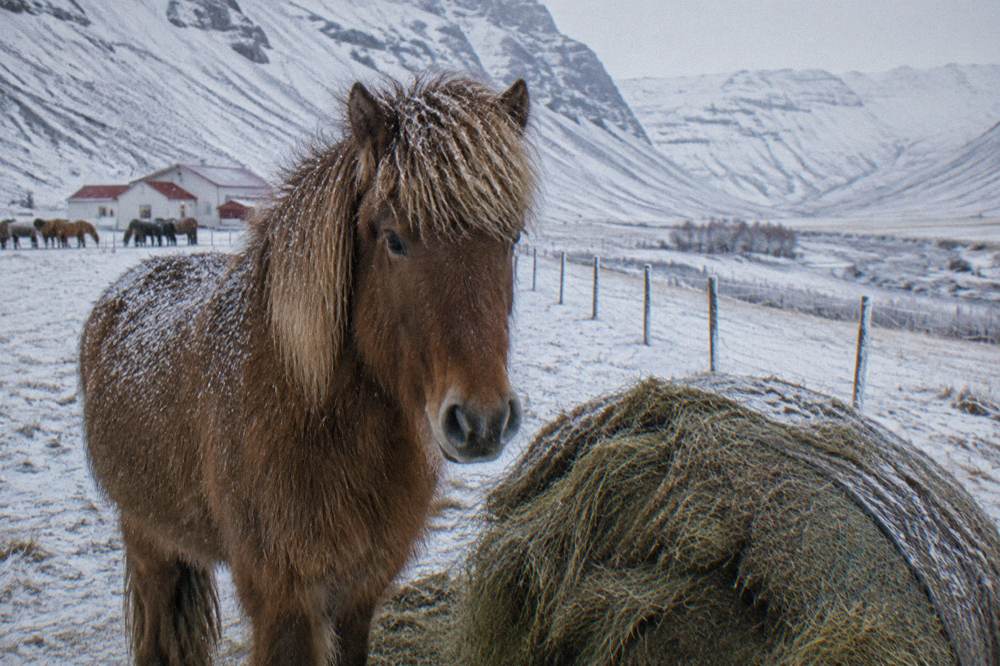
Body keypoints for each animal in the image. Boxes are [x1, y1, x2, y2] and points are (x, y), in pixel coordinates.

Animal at [79, 75, 533, 665]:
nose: (482, 422)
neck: (310, 411)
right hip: (149, 541)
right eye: (394, 238)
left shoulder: (360, 594)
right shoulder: (285, 602)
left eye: (513, 239)